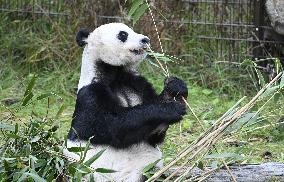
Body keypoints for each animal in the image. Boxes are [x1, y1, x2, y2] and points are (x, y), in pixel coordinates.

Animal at [64, 23, 189, 182]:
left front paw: (175, 88)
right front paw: (169, 109)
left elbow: (154, 134)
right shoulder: (89, 95)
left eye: (133, 30)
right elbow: (113, 126)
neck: (115, 73)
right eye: (123, 34)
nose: (145, 39)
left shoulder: (136, 84)